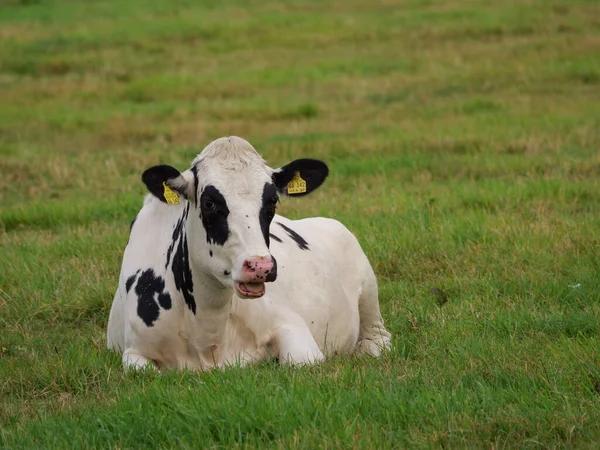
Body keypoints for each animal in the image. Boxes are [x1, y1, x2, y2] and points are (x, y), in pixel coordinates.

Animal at [105, 136, 392, 370]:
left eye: (272, 201)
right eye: (210, 203)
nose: (260, 267)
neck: (206, 332)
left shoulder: (289, 324)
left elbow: (302, 361)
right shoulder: (132, 352)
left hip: (368, 286)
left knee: (379, 338)